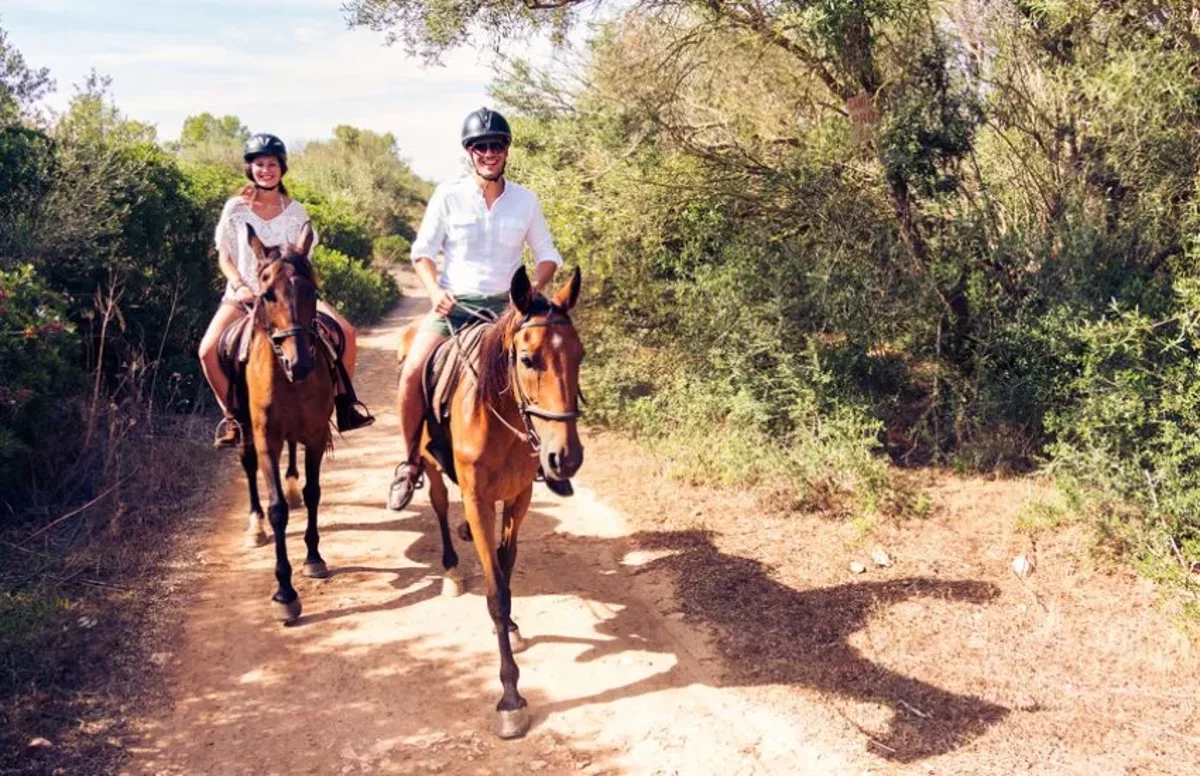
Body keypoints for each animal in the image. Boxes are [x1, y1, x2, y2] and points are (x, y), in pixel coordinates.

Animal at [395, 265, 584, 738]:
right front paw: (511, 697)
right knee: (439, 504)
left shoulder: (519, 497)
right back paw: (449, 568)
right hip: (429, 462)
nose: (566, 457)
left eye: (581, 355)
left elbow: (506, 565)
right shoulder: (480, 499)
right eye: (528, 359)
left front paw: (514, 625)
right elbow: (495, 589)